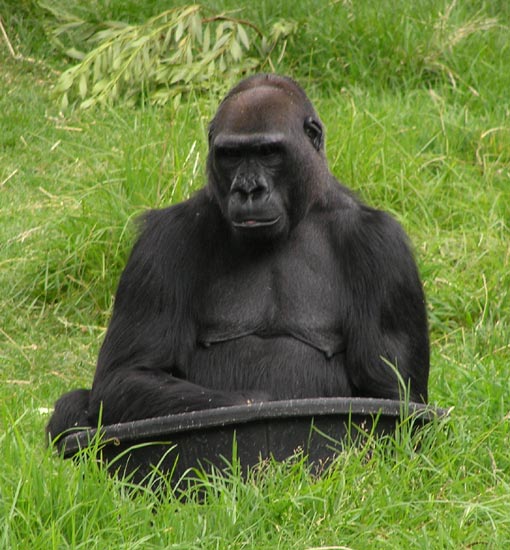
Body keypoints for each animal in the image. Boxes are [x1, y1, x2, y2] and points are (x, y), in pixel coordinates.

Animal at [47, 75, 430, 442]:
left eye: (268, 151)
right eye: (230, 154)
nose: (248, 189)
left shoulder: (383, 247)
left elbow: (390, 395)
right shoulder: (162, 242)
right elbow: (127, 375)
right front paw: (260, 404)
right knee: (76, 404)